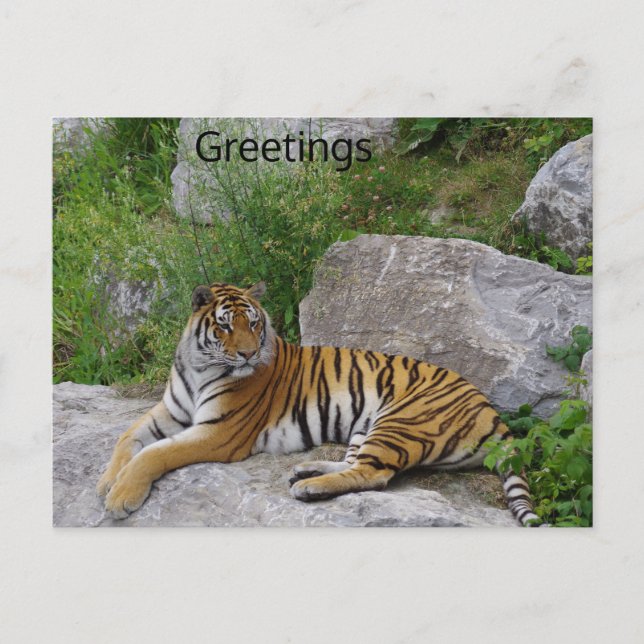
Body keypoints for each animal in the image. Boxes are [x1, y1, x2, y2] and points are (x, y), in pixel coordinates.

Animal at [97, 281, 539, 526]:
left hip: (400, 421)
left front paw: (121, 497)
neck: (198, 365)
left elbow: (155, 454)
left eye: (253, 323)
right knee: (355, 464)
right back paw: (306, 471)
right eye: (224, 326)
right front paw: (107, 480)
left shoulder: (217, 433)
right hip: (367, 426)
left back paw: (308, 488)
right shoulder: (169, 410)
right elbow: (127, 438)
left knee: (374, 475)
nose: (247, 354)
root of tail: (492, 411)